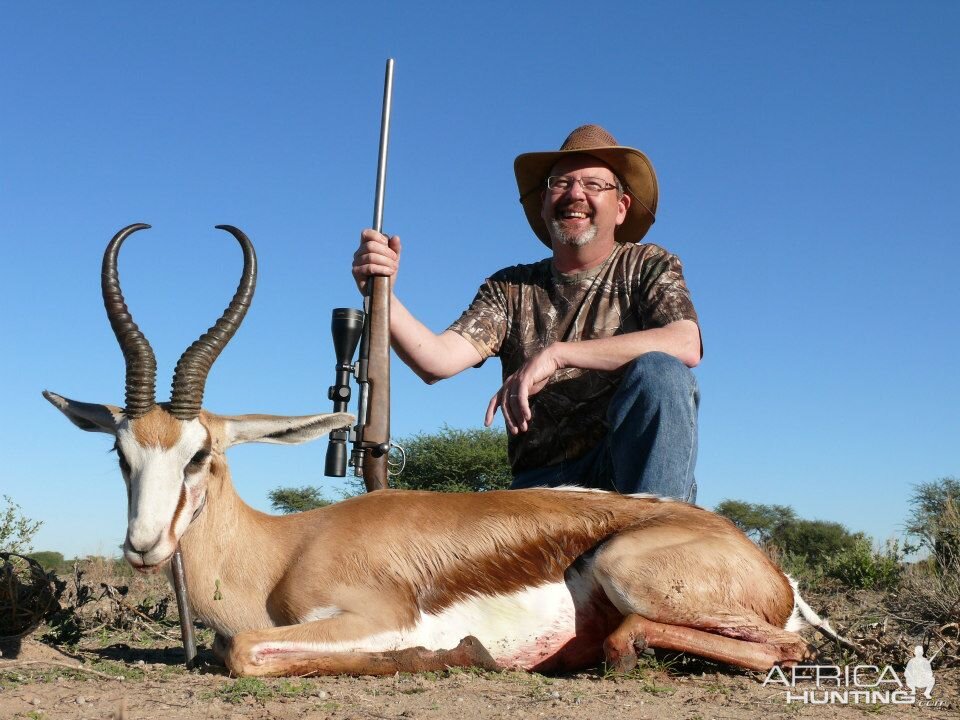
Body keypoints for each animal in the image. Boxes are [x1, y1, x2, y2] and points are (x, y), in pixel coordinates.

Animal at [47, 224, 840, 676]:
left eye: (200, 455)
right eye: (120, 454)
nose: (143, 545)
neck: (280, 551)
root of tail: (769, 567)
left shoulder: (374, 616)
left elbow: (238, 651)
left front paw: (451, 651)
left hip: (627, 570)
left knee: (787, 649)